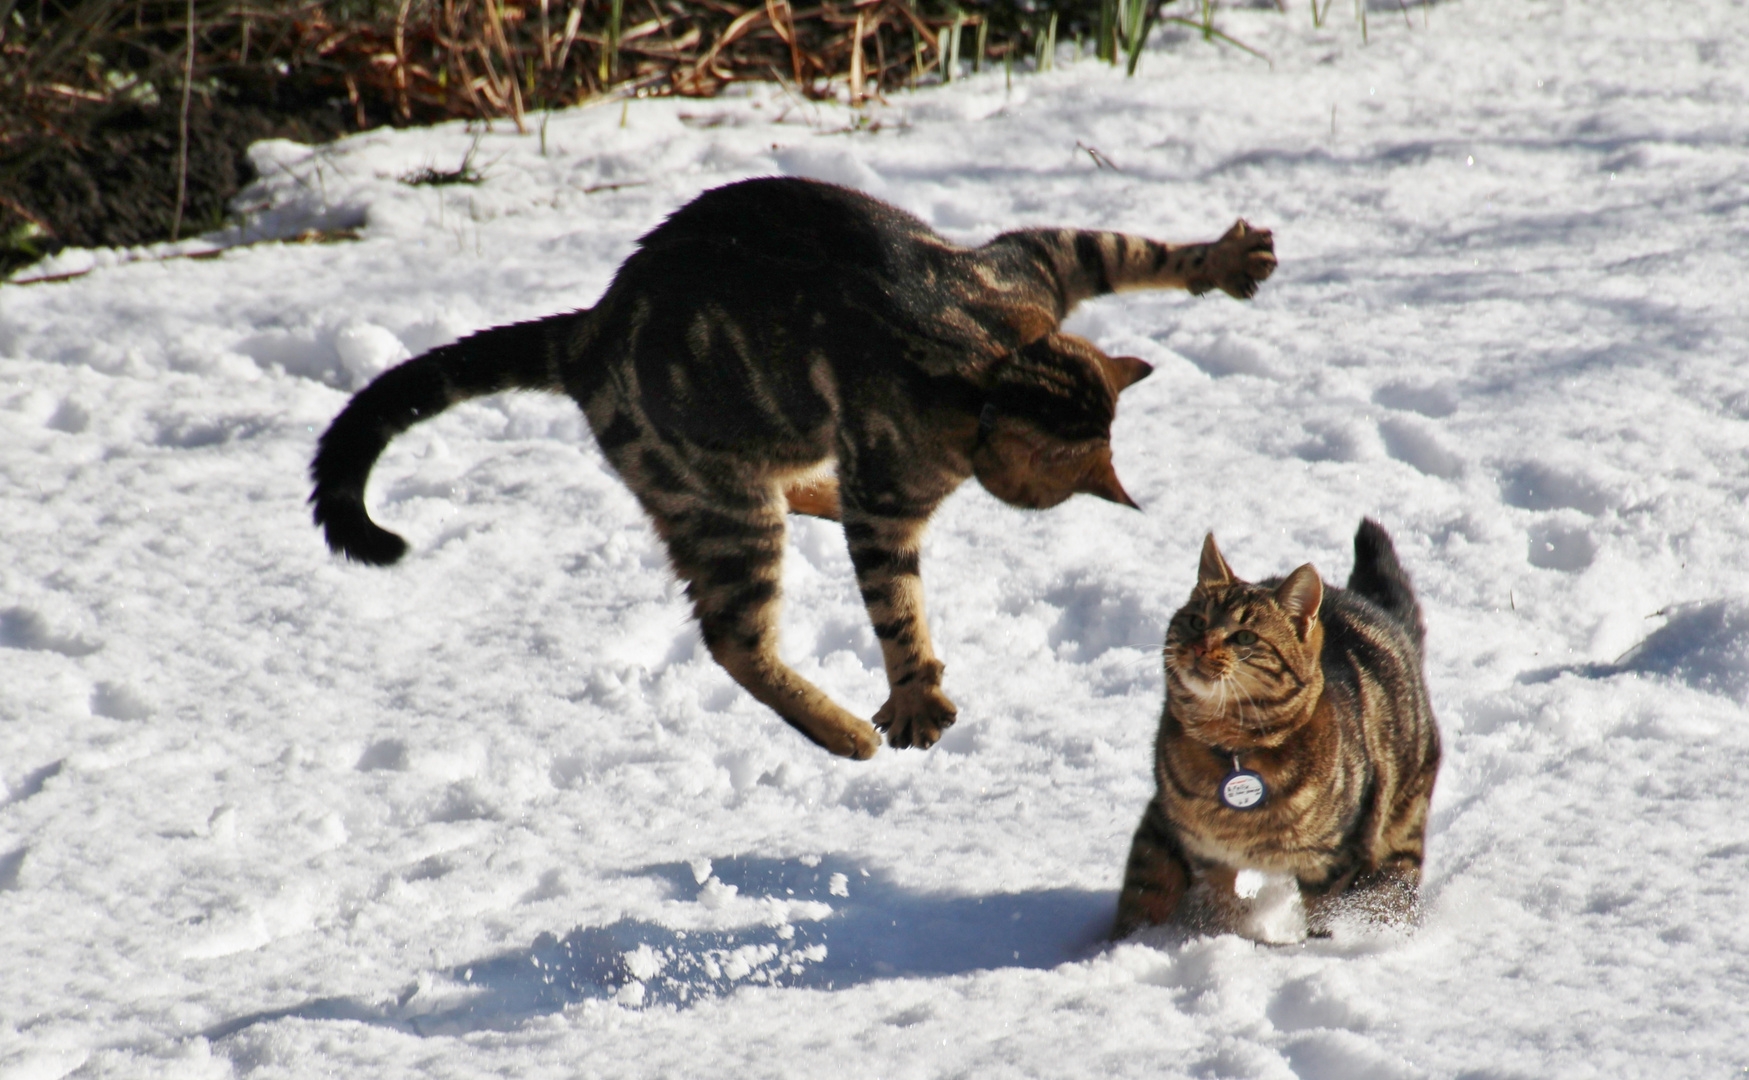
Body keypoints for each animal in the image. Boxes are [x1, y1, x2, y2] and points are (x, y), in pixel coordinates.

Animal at [311, 176, 1273, 759]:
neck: (991, 370)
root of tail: (586, 330)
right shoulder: (889, 494)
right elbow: (896, 610)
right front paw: (912, 698)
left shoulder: (1032, 261)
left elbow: (1130, 249)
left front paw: (1228, 258)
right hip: (724, 508)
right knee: (732, 639)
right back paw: (843, 731)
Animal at [1112, 521, 1441, 938]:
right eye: (1196, 621)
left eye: (1245, 636)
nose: (1199, 646)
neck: (1231, 748)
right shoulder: (1178, 833)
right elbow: (1149, 889)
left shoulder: (1335, 857)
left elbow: (1325, 914)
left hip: (1401, 825)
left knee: (1395, 884)